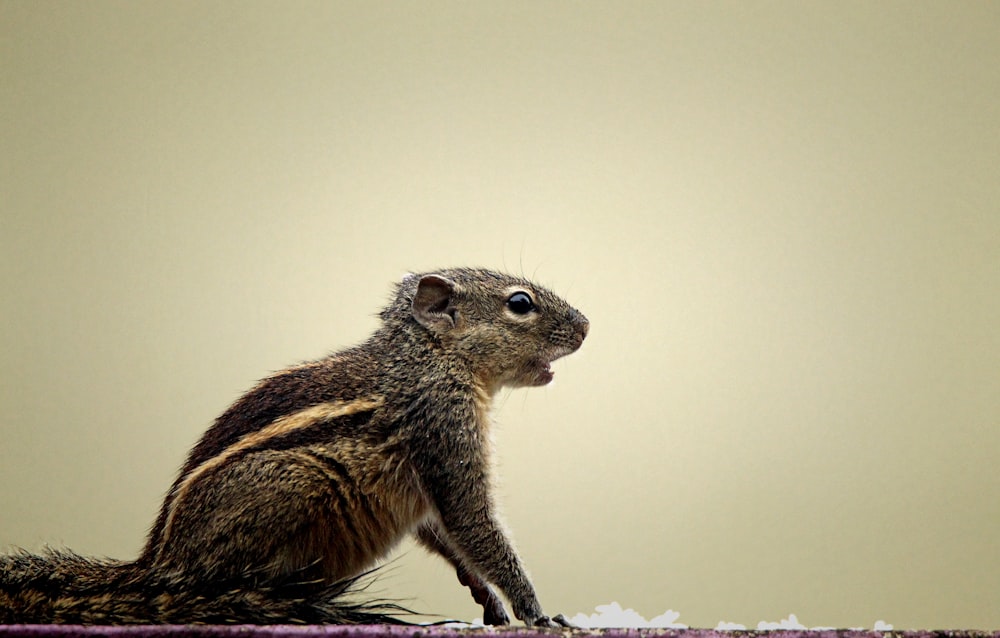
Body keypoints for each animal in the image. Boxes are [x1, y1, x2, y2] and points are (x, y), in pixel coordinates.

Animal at [0, 268, 588, 628]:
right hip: (296, 485)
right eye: (520, 303)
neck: (427, 357)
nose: (586, 325)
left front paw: (486, 598)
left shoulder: (429, 486)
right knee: (218, 592)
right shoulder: (445, 429)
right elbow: (475, 525)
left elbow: (446, 538)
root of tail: (155, 566)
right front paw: (540, 615)